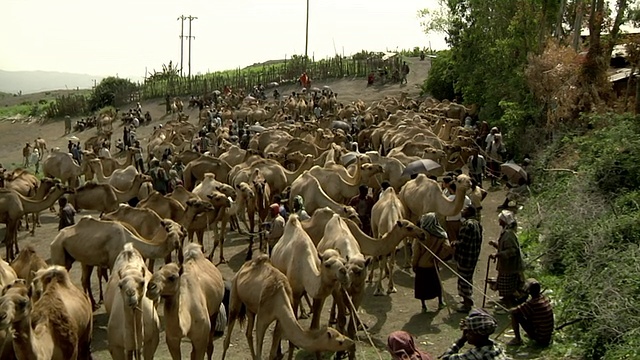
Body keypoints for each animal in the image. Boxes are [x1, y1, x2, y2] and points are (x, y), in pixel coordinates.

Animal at [50, 215, 185, 310]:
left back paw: (93, 305)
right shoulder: (112, 262)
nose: (177, 243)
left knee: (85, 280)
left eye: (181, 234)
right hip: (58, 250)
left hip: (83, 257)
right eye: (171, 233)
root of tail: (56, 238)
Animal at [221, 255, 352, 360]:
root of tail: (244, 267)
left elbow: (272, 353)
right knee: (227, 337)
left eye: (341, 335)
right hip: (235, 294)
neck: (278, 299)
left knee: (248, 333)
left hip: (251, 308)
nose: (351, 343)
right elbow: (259, 354)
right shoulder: (263, 318)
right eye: (339, 342)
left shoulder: (280, 320)